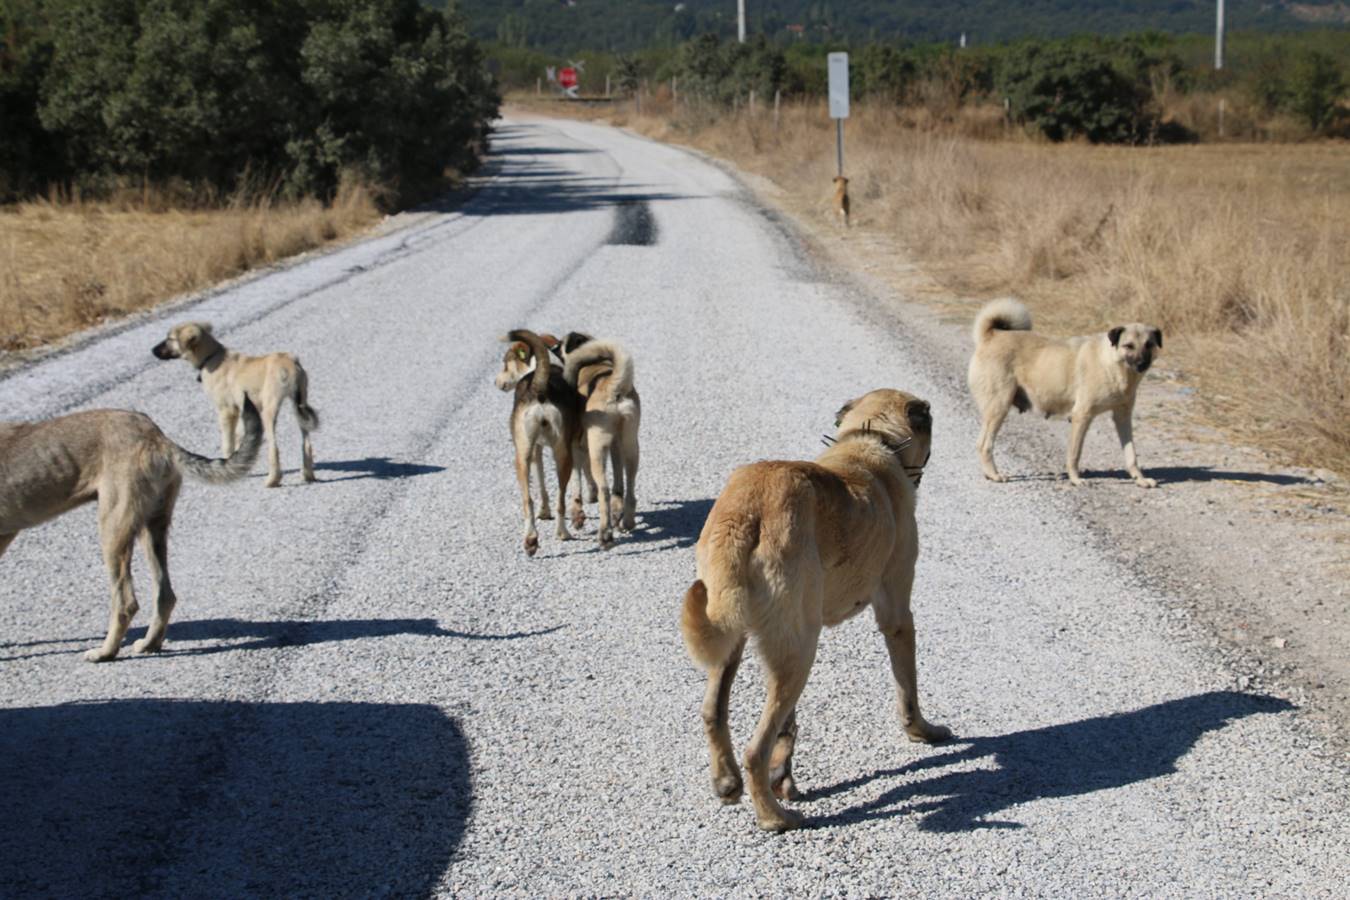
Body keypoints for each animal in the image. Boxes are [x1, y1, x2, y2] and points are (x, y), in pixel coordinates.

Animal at [0, 402, 260, 661]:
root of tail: (157, 437)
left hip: (112, 531)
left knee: (126, 603)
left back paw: (105, 652)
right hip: (151, 529)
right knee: (165, 596)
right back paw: (149, 643)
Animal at [152, 323, 318, 488]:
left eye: (170, 338)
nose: (152, 351)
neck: (211, 357)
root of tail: (290, 363)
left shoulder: (226, 410)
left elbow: (227, 442)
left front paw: (228, 464)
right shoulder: (241, 408)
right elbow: (240, 435)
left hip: (269, 410)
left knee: (274, 447)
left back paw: (273, 479)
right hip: (300, 405)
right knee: (306, 443)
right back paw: (307, 474)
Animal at [561, 333, 639, 550]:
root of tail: (613, 386)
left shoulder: (577, 447)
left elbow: (577, 480)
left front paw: (578, 515)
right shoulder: (614, 446)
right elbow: (618, 484)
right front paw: (617, 510)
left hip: (597, 449)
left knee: (604, 489)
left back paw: (605, 534)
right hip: (631, 445)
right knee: (630, 487)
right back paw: (627, 521)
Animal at [675, 391, 950, 836]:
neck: (870, 440)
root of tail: (746, 511)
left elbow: (788, 727)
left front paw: (784, 777)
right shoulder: (896, 613)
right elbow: (908, 687)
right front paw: (923, 732)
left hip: (743, 640)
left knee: (715, 712)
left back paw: (729, 781)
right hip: (801, 652)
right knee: (756, 747)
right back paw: (773, 817)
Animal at [972, 299, 1161, 488]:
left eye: (1149, 345)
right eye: (1128, 346)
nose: (1142, 364)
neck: (1112, 365)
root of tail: (992, 335)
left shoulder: (1122, 417)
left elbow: (1131, 454)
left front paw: (1140, 479)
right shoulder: (1081, 416)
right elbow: (1074, 453)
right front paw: (1075, 479)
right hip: (999, 407)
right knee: (983, 444)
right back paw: (994, 475)